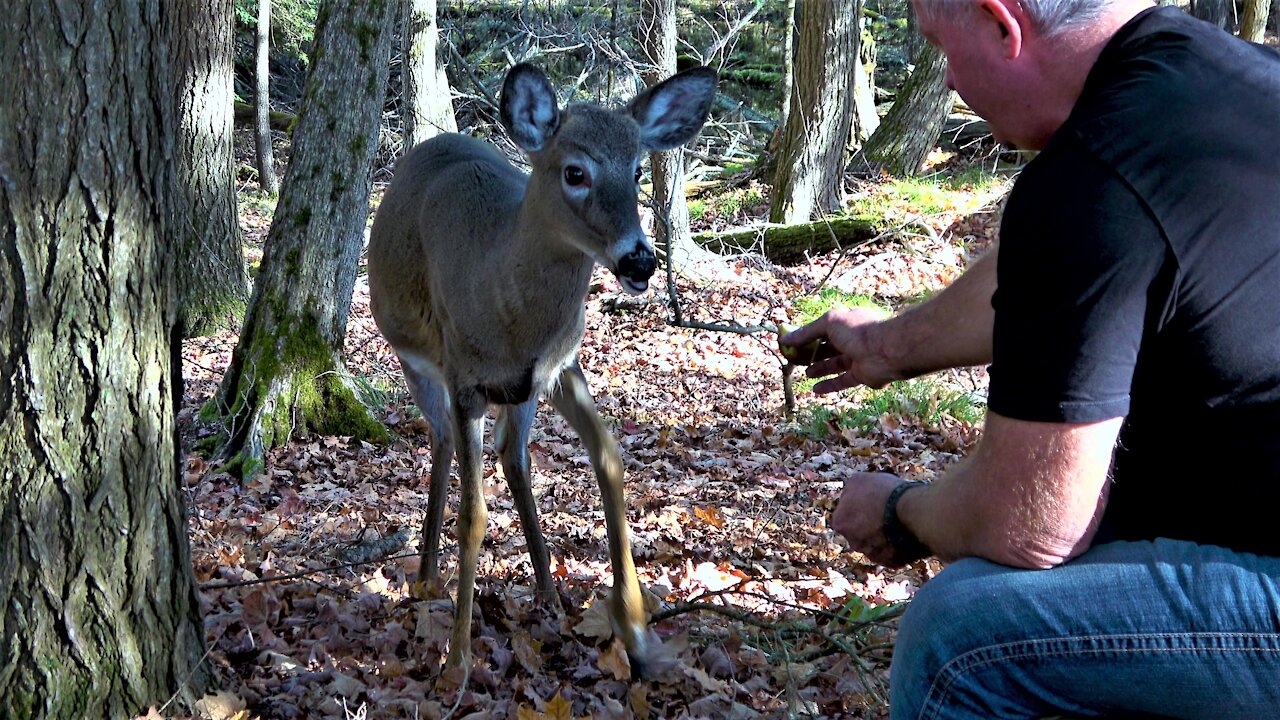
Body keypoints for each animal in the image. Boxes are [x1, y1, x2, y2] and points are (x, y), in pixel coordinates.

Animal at [368, 63, 721, 671]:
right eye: (575, 171)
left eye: (636, 170)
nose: (640, 259)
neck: (508, 310)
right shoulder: (466, 378)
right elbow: (474, 515)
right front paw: (456, 662)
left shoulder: (559, 368)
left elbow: (609, 457)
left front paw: (633, 624)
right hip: (416, 359)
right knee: (440, 439)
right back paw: (427, 578)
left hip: (521, 394)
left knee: (513, 457)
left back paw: (548, 593)